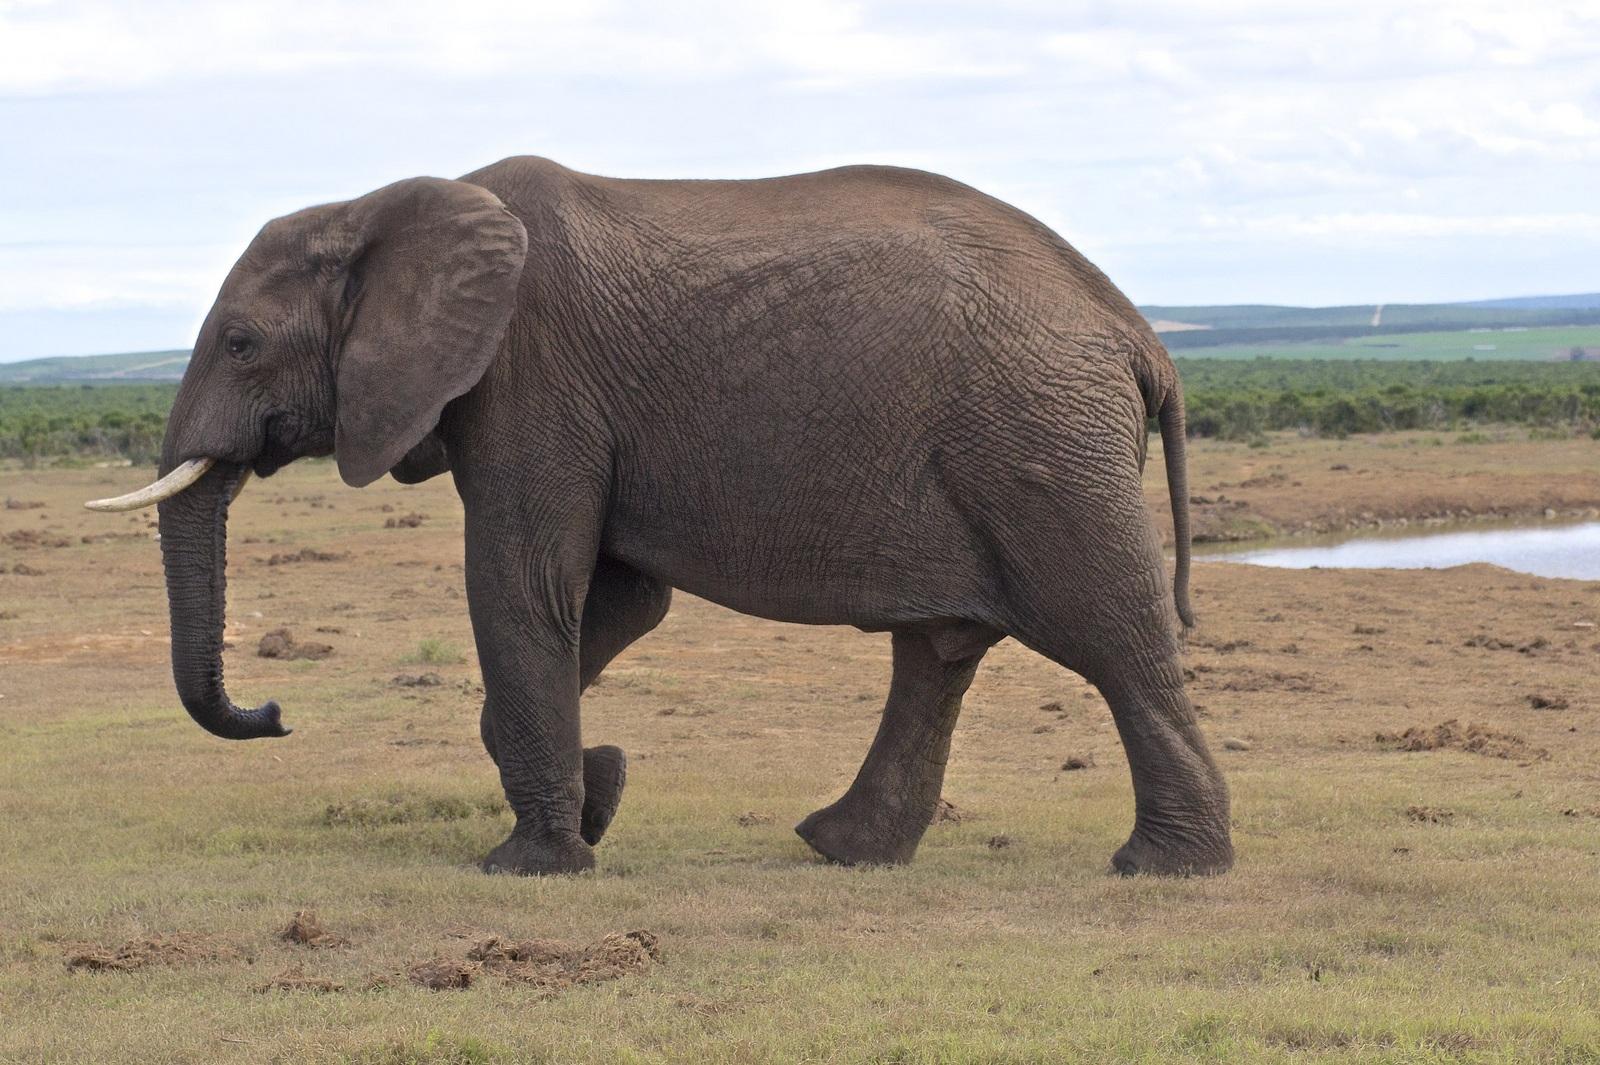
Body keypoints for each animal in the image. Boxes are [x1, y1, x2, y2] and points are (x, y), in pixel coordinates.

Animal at [84, 153, 1235, 876]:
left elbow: (523, 587)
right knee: (939, 651)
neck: (380, 206)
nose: (277, 711)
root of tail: (1142, 335)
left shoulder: (530, 377)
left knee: (1112, 637)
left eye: (240, 344)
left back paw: (1164, 869)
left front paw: (530, 865)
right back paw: (842, 849)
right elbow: (618, 604)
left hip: (1039, 439)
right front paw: (601, 794)